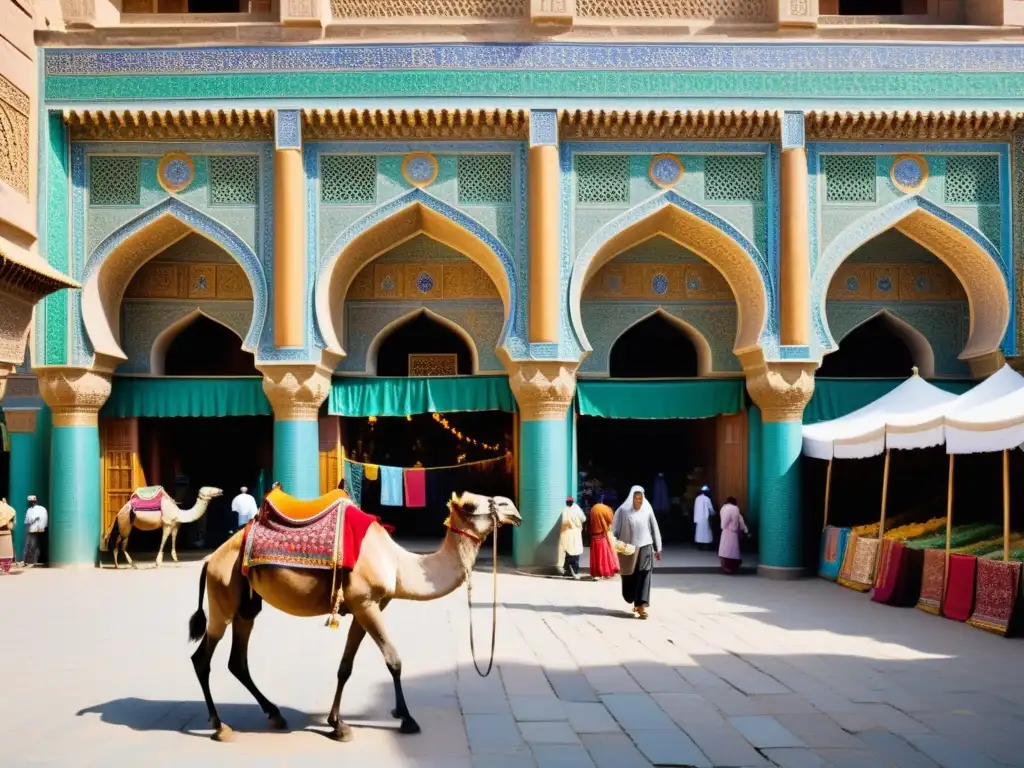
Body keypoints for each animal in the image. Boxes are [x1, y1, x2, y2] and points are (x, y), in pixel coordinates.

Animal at [185, 489, 520, 741]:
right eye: (472, 504)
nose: (512, 508)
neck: (397, 564)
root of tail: (210, 558)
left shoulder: (365, 607)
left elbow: (345, 667)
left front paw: (337, 724)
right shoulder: (366, 603)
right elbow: (394, 660)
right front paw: (406, 719)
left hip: (245, 605)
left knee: (237, 661)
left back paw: (275, 714)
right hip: (222, 596)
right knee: (202, 658)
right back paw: (220, 727)